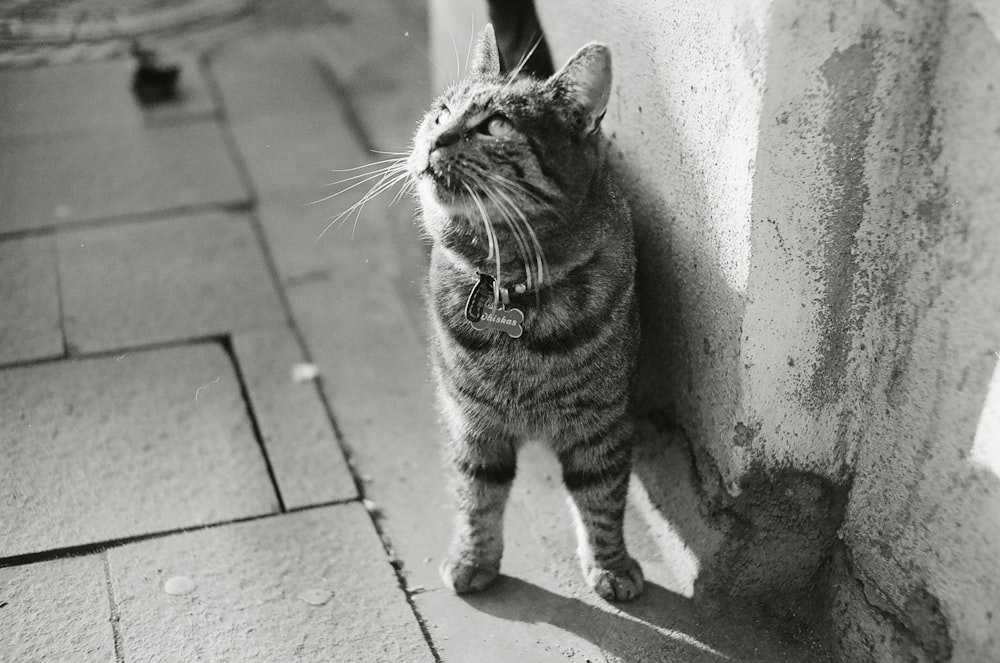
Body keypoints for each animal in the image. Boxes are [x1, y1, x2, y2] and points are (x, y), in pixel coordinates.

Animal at [404, 24, 640, 600]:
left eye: (495, 125)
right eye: (441, 113)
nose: (435, 140)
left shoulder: (604, 421)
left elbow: (603, 497)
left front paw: (612, 564)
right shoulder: (470, 420)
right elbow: (475, 495)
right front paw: (472, 558)